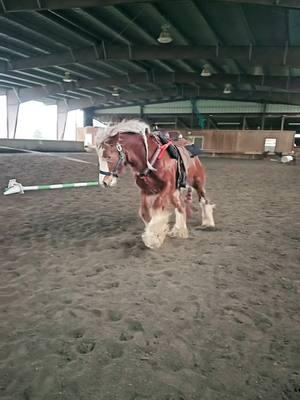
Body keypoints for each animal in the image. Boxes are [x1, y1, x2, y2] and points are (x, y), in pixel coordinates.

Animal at [95, 120, 213, 248]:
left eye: (108, 157)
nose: (104, 182)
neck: (150, 159)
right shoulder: (146, 191)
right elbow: (144, 213)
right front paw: (155, 233)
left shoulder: (167, 187)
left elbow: (157, 207)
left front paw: (154, 237)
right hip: (174, 193)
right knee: (181, 207)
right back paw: (179, 230)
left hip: (197, 183)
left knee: (204, 201)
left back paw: (208, 223)